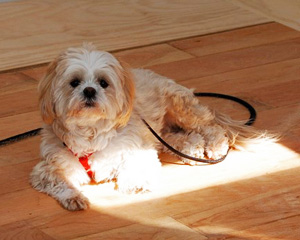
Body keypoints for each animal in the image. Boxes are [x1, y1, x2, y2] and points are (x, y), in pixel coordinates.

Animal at [29, 43, 270, 210]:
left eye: (103, 83)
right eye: (74, 82)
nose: (89, 90)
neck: (91, 133)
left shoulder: (136, 151)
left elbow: (138, 167)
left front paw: (135, 185)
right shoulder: (52, 165)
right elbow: (59, 181)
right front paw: (74, 197)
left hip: (181, 108)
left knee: (213, 128)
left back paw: (214, 147)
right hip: (163, 132)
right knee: (182, 138)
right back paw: (192, 149)